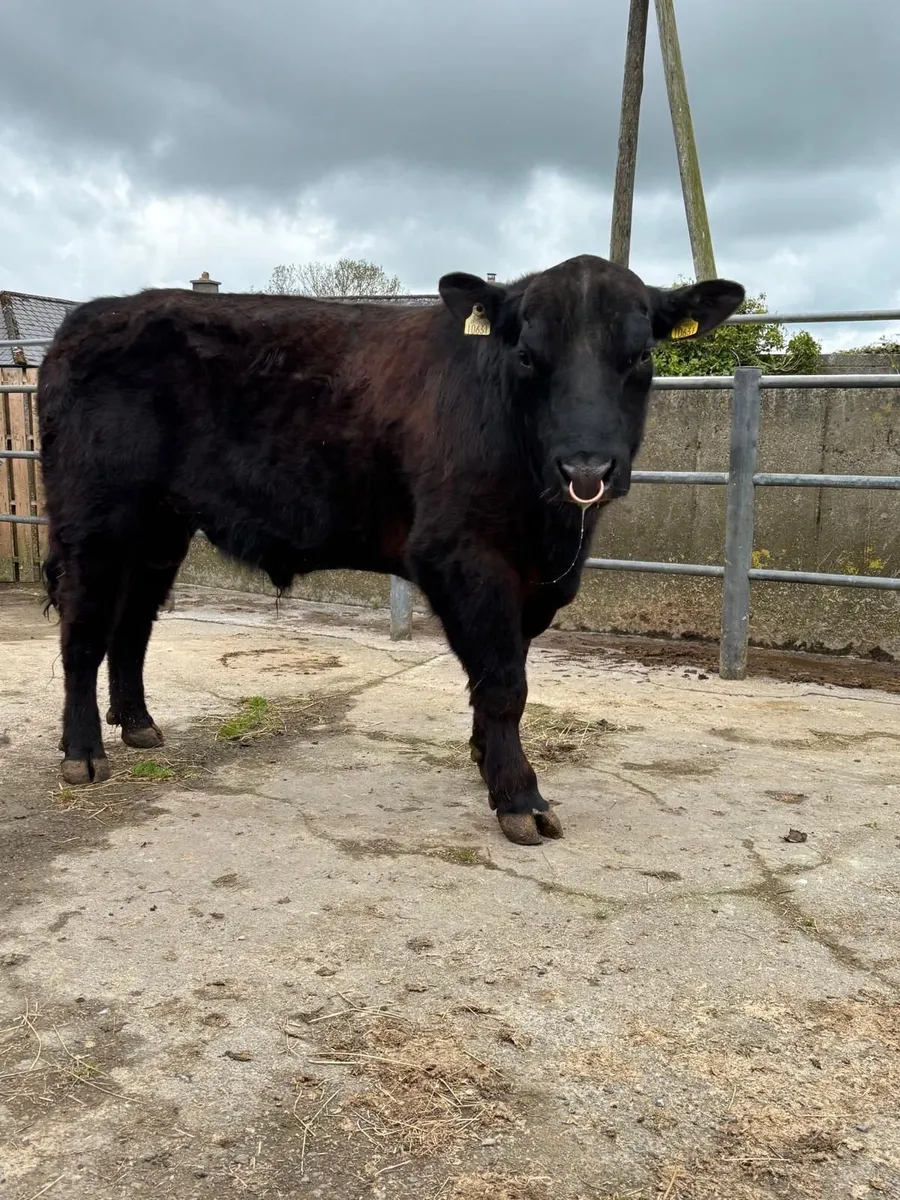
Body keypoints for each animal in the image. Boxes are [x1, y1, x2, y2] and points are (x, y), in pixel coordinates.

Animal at [37, 254, 744, 846]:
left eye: (641, 355)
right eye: (526, 355)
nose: (586, 466)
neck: (553, 529)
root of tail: (91, 315)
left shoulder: (532, 580)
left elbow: (503, 671)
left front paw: (486, 762)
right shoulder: (463, 554)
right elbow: (503, 681)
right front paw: (521, 798)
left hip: (160, 528)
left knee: (133, 624)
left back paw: (138, 724)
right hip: (93, 520)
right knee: (84, 632)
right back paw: (83, 753)